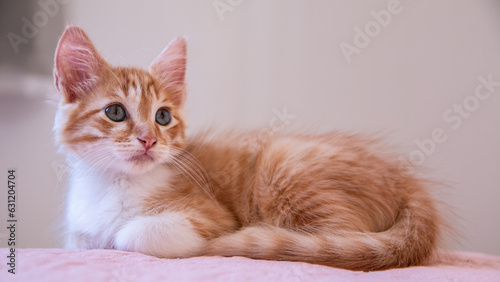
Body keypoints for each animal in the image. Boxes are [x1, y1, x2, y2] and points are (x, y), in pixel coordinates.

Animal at [52, 25, 440, 270]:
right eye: (116, 112)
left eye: (162, 116)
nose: (149, 139)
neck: (114, 183)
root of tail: (406, 181)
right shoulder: (78, 232)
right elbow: (82, 241)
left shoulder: (212, 214)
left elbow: (133, 235)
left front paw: (125, 235)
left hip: (285, 161)